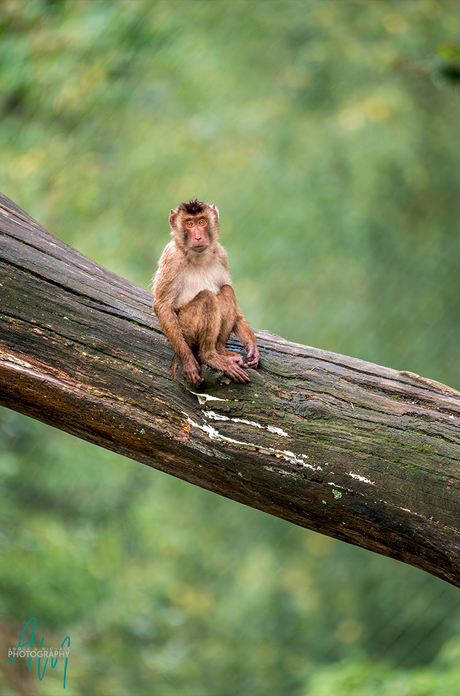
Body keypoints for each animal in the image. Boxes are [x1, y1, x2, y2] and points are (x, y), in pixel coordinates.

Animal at [152, 198, 256, 386]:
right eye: (189, 224)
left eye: (201, 222)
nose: (198, 236)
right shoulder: (171, 256)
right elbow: (162, 305)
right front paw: (188, 362)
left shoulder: (222, 255)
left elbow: (226, 289)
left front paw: (251, 344)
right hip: (185, 331)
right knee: (207, 297)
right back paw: (208, 356)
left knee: (227, 291)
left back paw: (221, 351)